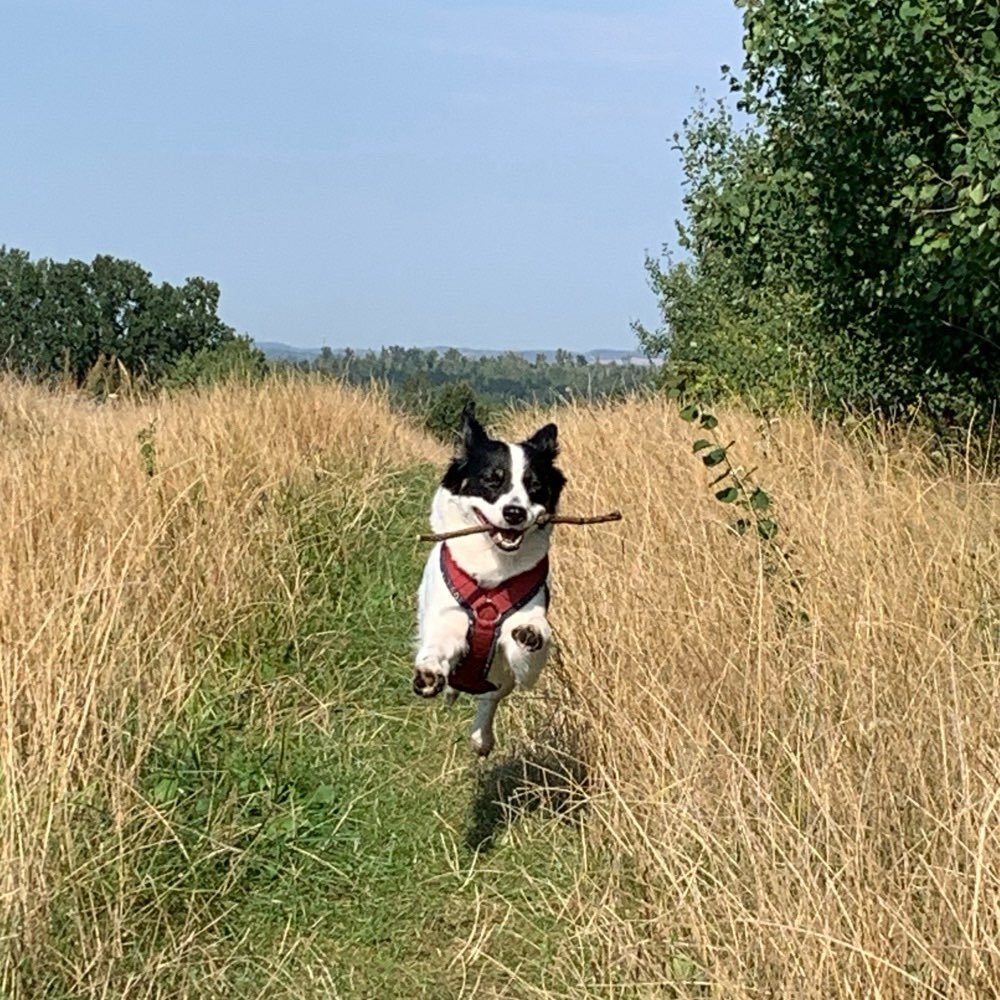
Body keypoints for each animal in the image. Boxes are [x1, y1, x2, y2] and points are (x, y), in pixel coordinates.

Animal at [414, 402, 568, 752]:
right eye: (491, 480)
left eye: (534, 486)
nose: (515, 512)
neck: (491, 568)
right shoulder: (447, 619)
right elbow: (437, 646)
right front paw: (429, 672)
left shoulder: (522, 667)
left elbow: (534, 635)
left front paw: (531, 631)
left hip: (499, 679)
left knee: (490, 697)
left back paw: (481, 737)